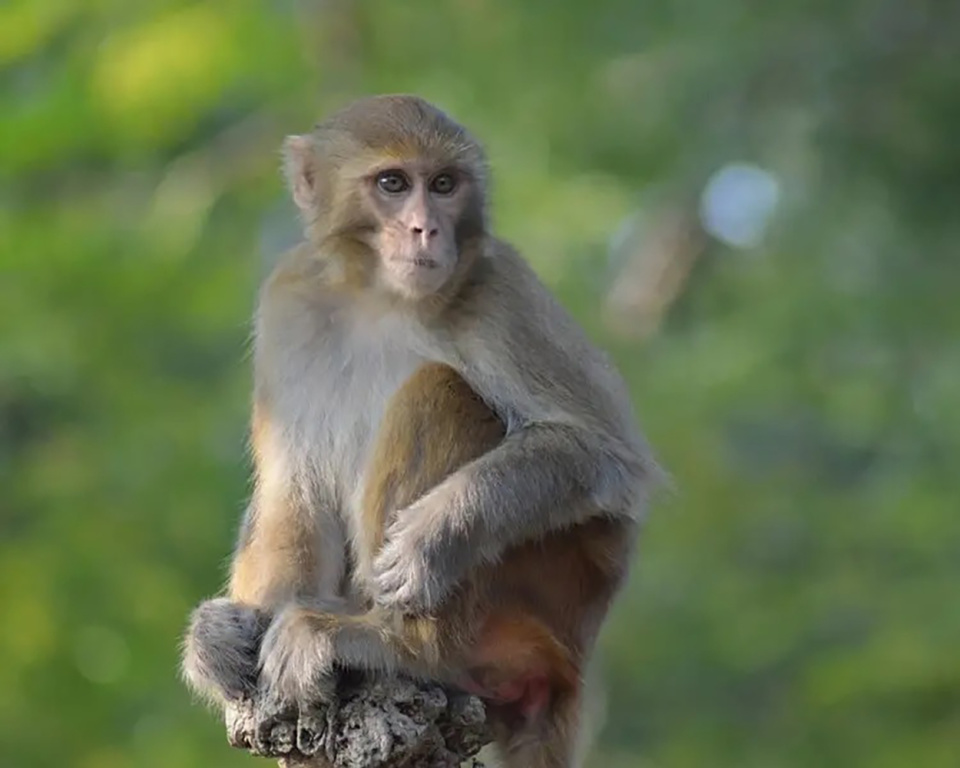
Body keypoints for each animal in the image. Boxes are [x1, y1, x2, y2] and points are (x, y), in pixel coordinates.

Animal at [180, 93, 660, 764]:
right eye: (392, 183)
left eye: (443, 185)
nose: (424, 228)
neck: (382, 298)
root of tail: (575, 662)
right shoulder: (290, 301)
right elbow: (292, 483)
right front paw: (229, 639)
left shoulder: (500, 291)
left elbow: (602, 452)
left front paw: (432, 539)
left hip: (538, 599)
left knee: (439, 389)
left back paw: (403, 643)